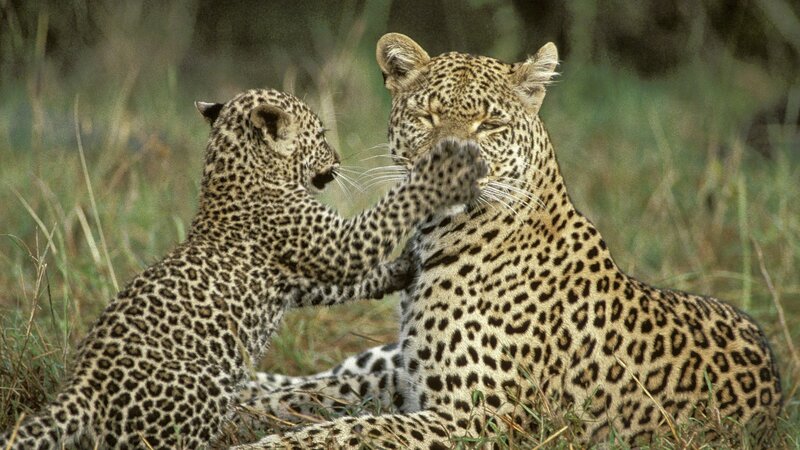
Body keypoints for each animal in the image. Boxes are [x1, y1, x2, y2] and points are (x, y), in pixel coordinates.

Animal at [0, 87, 487, 449]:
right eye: (320, 134)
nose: (338, 157)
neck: (236, 172)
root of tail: (83, 387)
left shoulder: (302, 276)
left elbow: (344, 284)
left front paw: (403, 268)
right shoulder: (333, 243)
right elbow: (390, 210)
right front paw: (442, 170)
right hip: (189, 406)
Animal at [235, 33, 783, 449]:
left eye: (489, 124)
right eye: (428, 116)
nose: (448, 161)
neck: (441, 237)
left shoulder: (474, 421)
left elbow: (353, 432)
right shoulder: (410, 384)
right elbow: (330, 412)